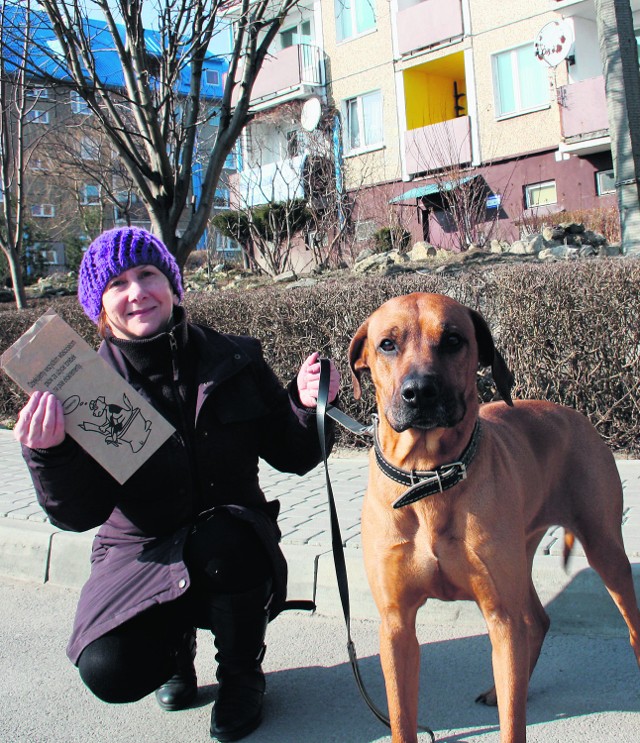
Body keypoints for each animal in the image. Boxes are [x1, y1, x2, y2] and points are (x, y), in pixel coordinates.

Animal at [350, 294, 640, 740]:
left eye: (453, 339)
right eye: (387, 344)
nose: (420, 392)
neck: (431, 477)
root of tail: (575, 413)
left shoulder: (501, 617)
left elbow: (513, 721)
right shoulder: (396, 626)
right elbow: (402, 719)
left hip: (605, 550)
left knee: (628, 626)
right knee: (537, 620)